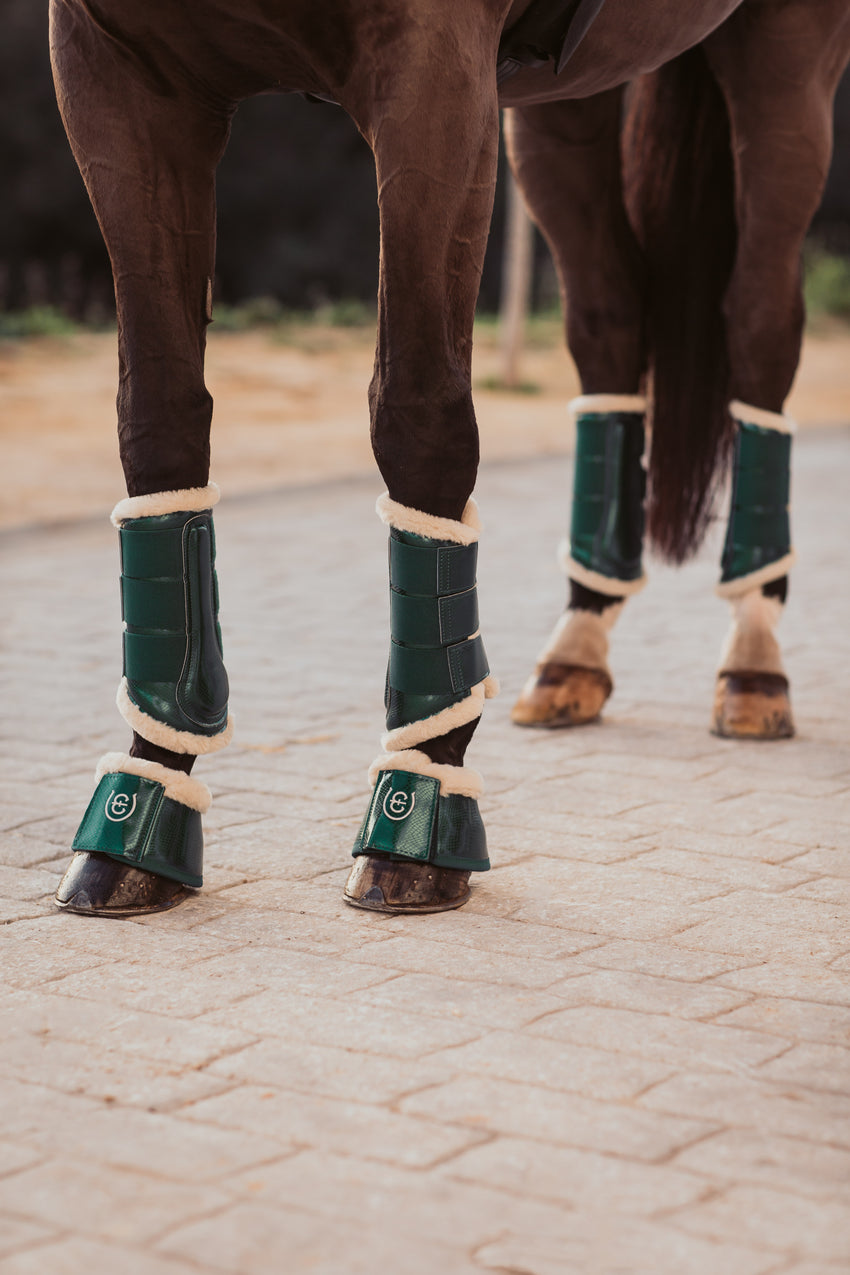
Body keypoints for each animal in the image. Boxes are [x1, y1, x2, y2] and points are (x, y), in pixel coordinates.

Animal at [50, 0, 850, 918]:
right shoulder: (117, 79)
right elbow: (156, 418)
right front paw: (138, 809)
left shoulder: (431, 81)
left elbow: (419, 413)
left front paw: (416, 806)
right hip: (564, 102)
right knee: (608, 320)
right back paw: (576, 647)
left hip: (785, 60)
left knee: (759, 324)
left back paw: (754, 662)